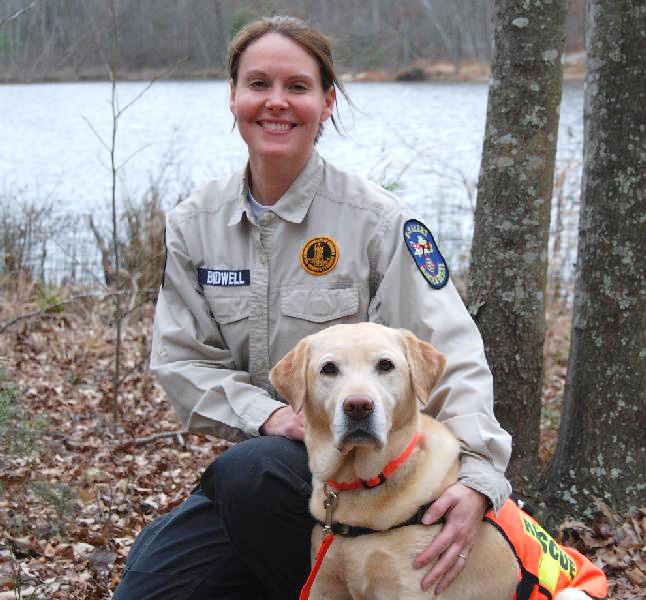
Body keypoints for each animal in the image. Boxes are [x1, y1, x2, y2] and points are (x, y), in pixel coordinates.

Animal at [270, 323, 605, 600]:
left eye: (385, 365)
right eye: (328, 369)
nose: (358, 406)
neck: (363, 485)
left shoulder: (412, 589)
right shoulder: (324, 584)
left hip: (572, 594)